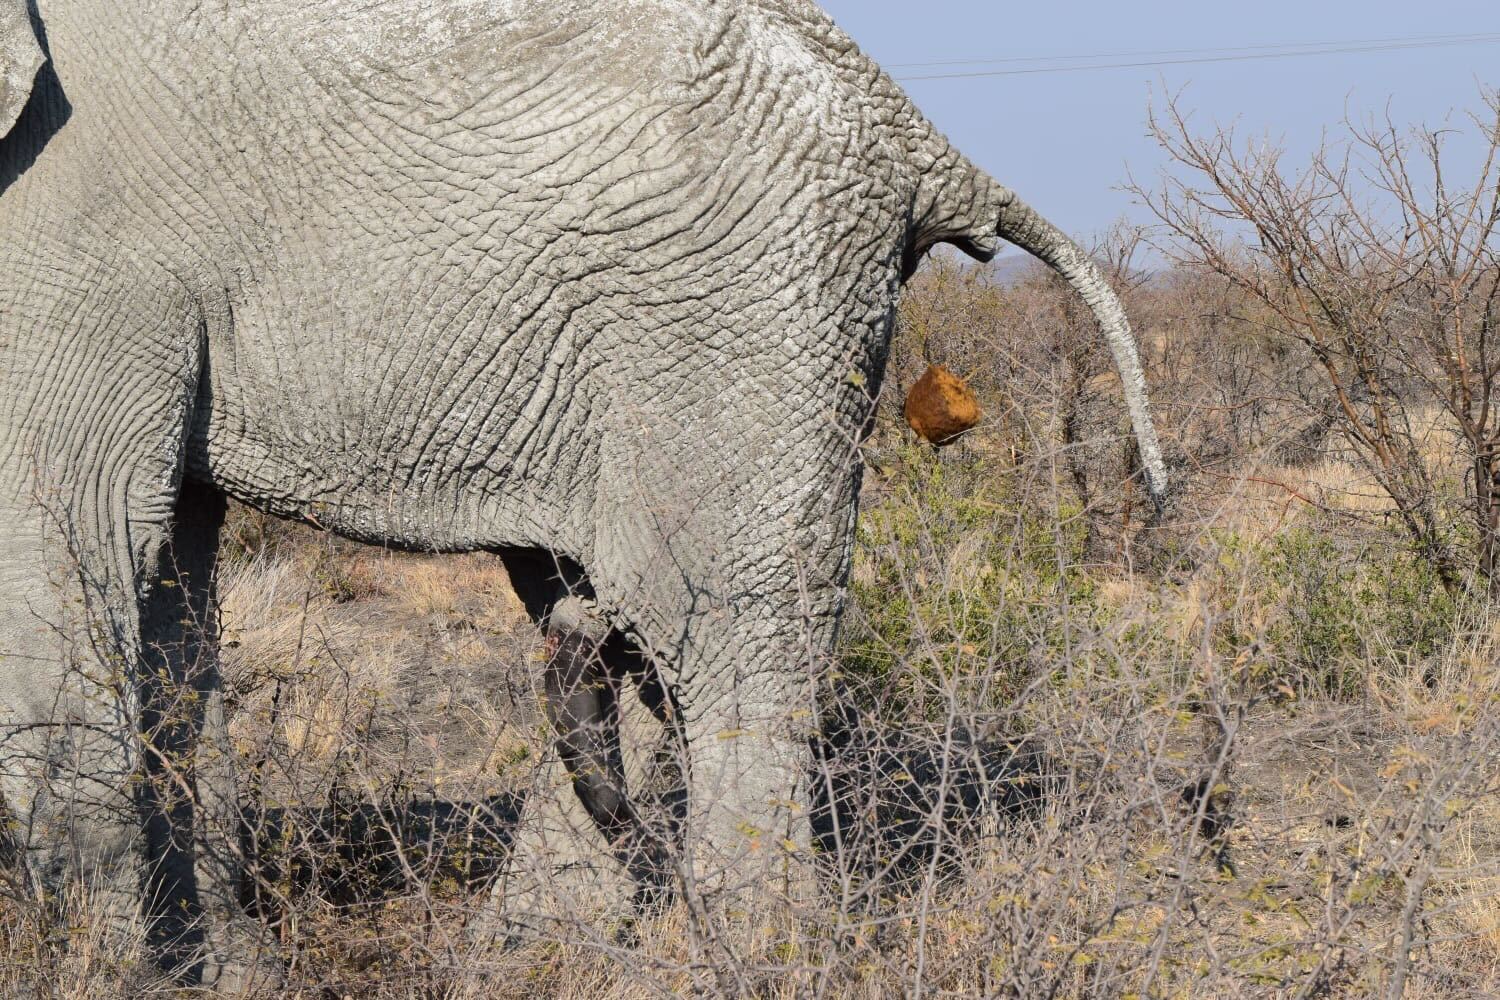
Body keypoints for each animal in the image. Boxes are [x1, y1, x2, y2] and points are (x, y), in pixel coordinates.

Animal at [0, 0, 1164, 983]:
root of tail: (922, 140)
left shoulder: (72, 241)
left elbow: (68, 539)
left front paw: (101, 976)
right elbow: (163, 581)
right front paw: (212, 976)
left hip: (743, 307)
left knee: (719, 628)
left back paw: (739, 961)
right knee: (636, 633)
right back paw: (536, 957)